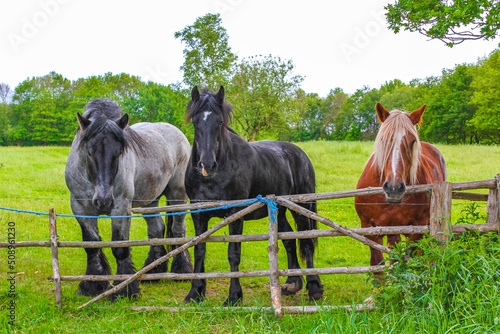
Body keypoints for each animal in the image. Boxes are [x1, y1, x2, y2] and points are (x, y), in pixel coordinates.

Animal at [64, 100, 191, 300]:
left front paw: (124, 290)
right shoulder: (80, 208)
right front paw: (92, 285)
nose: (104, 201)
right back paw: (153, 272)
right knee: (157, 229)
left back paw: (182, 271)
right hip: (150, 200)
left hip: (177, 196)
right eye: (89, 152)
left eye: (119, 152)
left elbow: (120, 248)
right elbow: (92, 245)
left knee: (179, 230)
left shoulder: (121, 208)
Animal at [184, 86, 324, 306]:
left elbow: (233, 253)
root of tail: (299, 153)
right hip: (279, 210)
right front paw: (195, 292)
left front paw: (234, 296)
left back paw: (314, 288)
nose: (207, 164)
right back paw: (292, 284)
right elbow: (199, 250)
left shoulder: (235, 214)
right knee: (289, 240)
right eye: (195, 122)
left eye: (220, 122)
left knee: (307, 243)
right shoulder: (198, 214)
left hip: (302, 208)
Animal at [354, 102, 448, 266]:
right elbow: (378, 265)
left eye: (412, 141)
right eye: (383, 139)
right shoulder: (369, 229)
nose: (394, 188)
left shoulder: (416, 230)